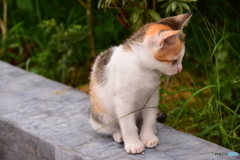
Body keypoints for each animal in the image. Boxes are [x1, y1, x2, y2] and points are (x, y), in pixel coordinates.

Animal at [89, 12, 192, 154]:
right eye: (174, 61)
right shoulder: (123, 101)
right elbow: (128, 125)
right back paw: (119, 134)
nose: (180, 69)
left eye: (180, 59)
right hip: (101, 114)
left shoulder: (152, 96)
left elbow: (149, 118)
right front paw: (133, 143)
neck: (144, 69)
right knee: (110, 127)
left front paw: (148, 137)